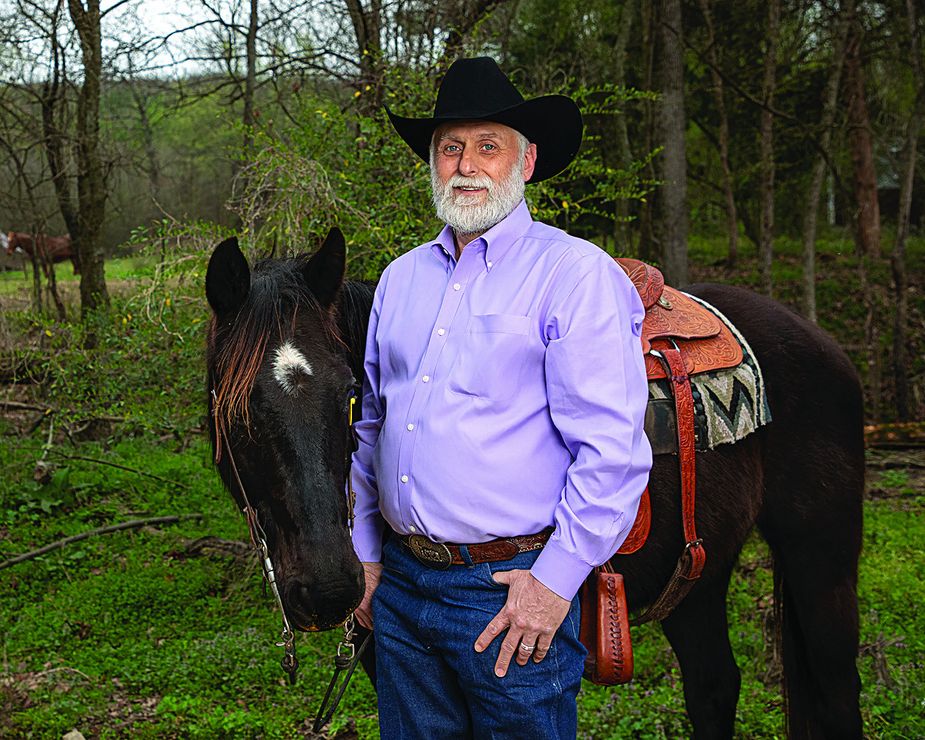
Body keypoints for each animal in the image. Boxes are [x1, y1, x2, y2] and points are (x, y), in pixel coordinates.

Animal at [206, 230, 864, 736]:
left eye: (349, 393)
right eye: (237, 410)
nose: (329, 587)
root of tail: (823, 341)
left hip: (821, 558)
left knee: (836, 689)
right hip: (698, 574)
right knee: (714, 687)